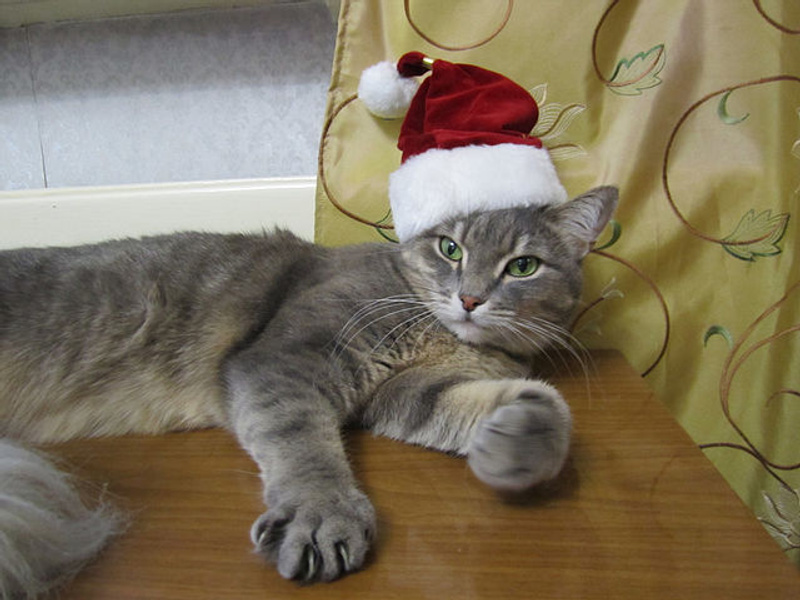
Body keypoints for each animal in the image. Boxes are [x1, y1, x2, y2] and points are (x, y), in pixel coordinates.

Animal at [0, 185, 616, 594]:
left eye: (524, 266)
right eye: (451, 249)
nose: (469, 298)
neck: (443, 335)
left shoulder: (401, 392)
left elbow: (499, 405)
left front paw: (522, 437)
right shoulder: (285, 360)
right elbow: (302, 441)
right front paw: (322, 513)